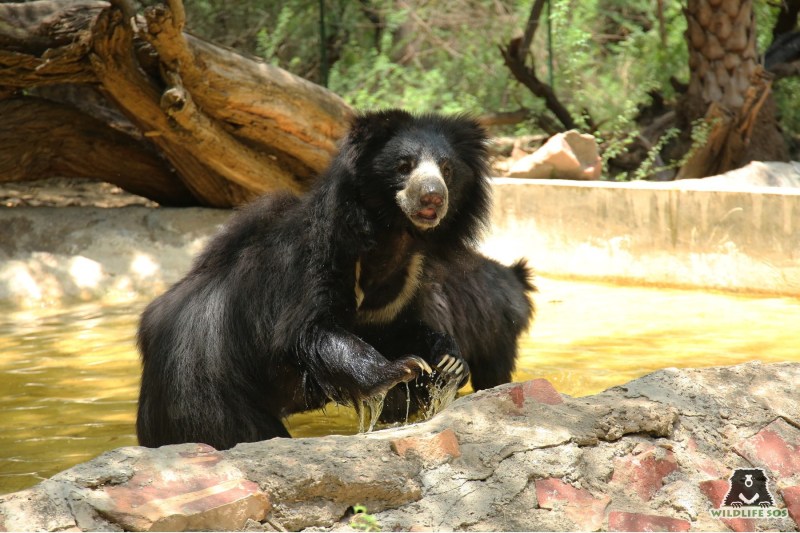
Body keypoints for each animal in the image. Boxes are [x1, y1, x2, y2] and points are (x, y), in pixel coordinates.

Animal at [140, 109, 496, 448]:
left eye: (447, 169)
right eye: (404, 166)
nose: (433, 197)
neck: (390, 237)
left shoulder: (406, 282)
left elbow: (395, 329)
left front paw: (449, 363)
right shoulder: (314, 263)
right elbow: (310, 332)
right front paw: (402, 369)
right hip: (205, 384)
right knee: (232, 428)